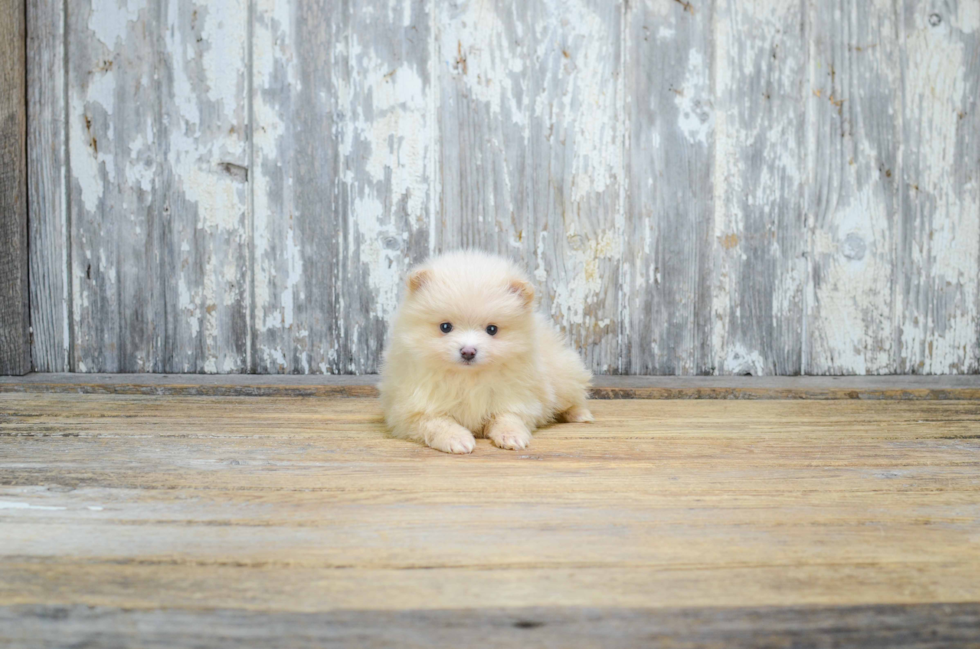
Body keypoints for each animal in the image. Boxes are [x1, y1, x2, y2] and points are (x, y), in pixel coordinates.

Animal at [378, 251, 592, 454]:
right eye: (445, 327)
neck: (468, 378)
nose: (468, 351)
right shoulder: (413, 408)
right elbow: (438, 423)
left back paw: (580, 414)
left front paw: (512, 436)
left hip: (562, 377)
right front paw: (456, 439)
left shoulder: (514, 396)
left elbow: (508, 417)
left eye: (492, 329)